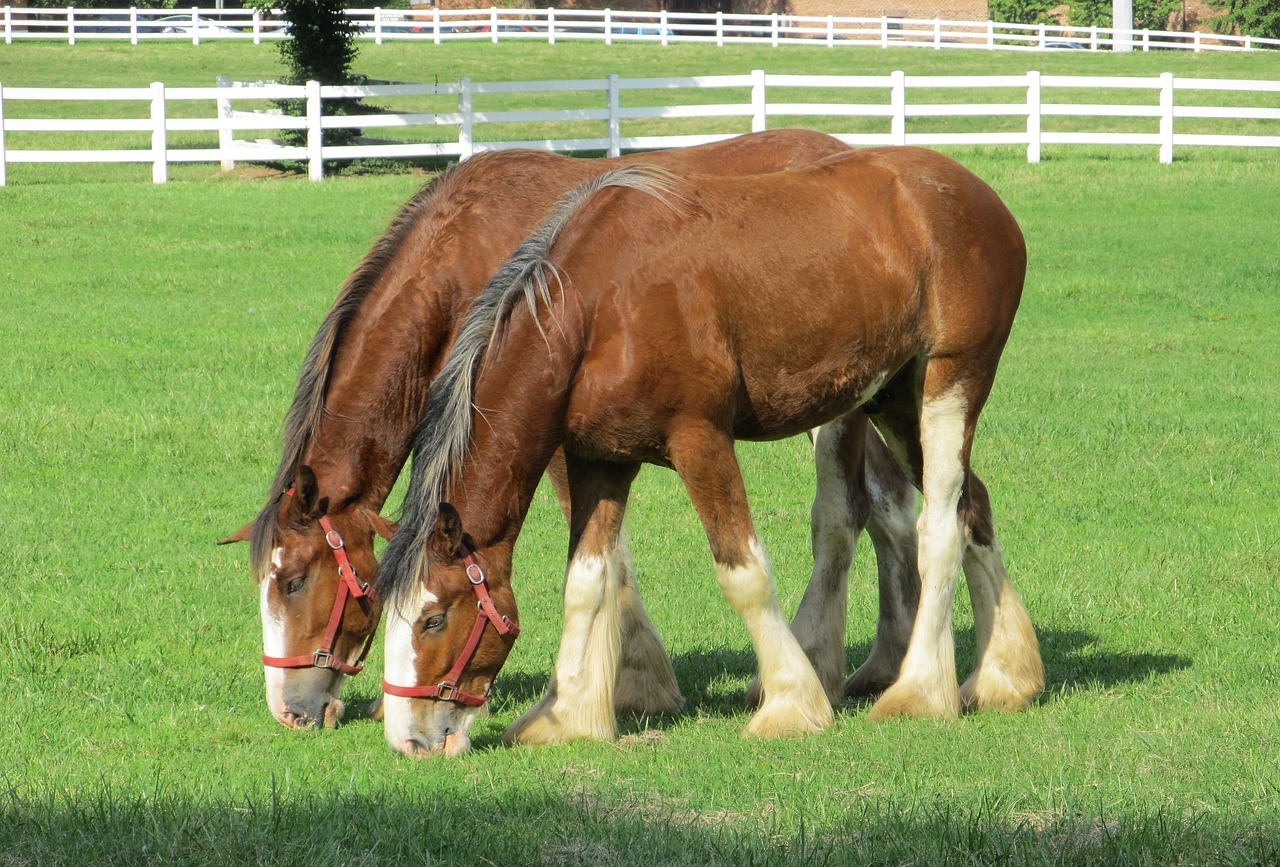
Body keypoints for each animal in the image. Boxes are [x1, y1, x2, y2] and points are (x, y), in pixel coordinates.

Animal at [222, 129, 931, 732]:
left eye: (292, 580)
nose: (288, 708)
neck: (466, 259)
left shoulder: (551, 437)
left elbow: (605, 559)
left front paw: (630, 683)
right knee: (892, 505)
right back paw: (889, 663)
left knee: (858, 511)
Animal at [373, 150, 1044, 758]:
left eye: (434, 619)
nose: (409, 741)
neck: (603, 310)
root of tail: (979, 197)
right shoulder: (600, 461)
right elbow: (586, 581)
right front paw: (568, 716)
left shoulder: (700, 441)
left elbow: (741, 571)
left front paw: (792, 703)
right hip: (895, 401)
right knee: (973, 507)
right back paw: (1005, 676)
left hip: (950, 385)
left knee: (940, 527)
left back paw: (920, 692)